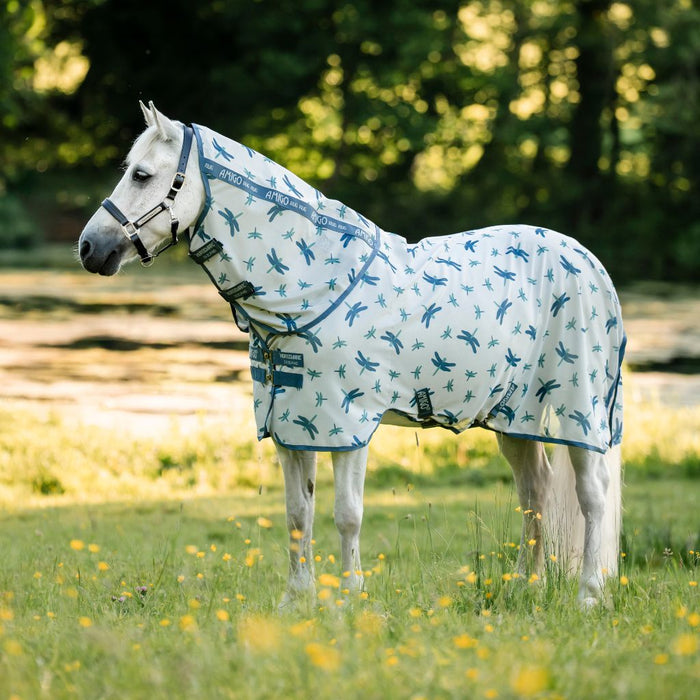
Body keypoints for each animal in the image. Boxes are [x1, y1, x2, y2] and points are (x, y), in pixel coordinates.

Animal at [79, 102, 625, 608]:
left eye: (142, 174)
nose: (88, 248)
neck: (311, 289)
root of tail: (589, 261)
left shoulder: (348, 425)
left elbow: (347, 515)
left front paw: (347, 600)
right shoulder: (292, 425)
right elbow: (297, 514)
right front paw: (296, 600)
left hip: (578, 411)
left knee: (592, 495)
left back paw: (589, 595)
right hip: (515, 418)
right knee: (535, 490)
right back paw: (526, 586)